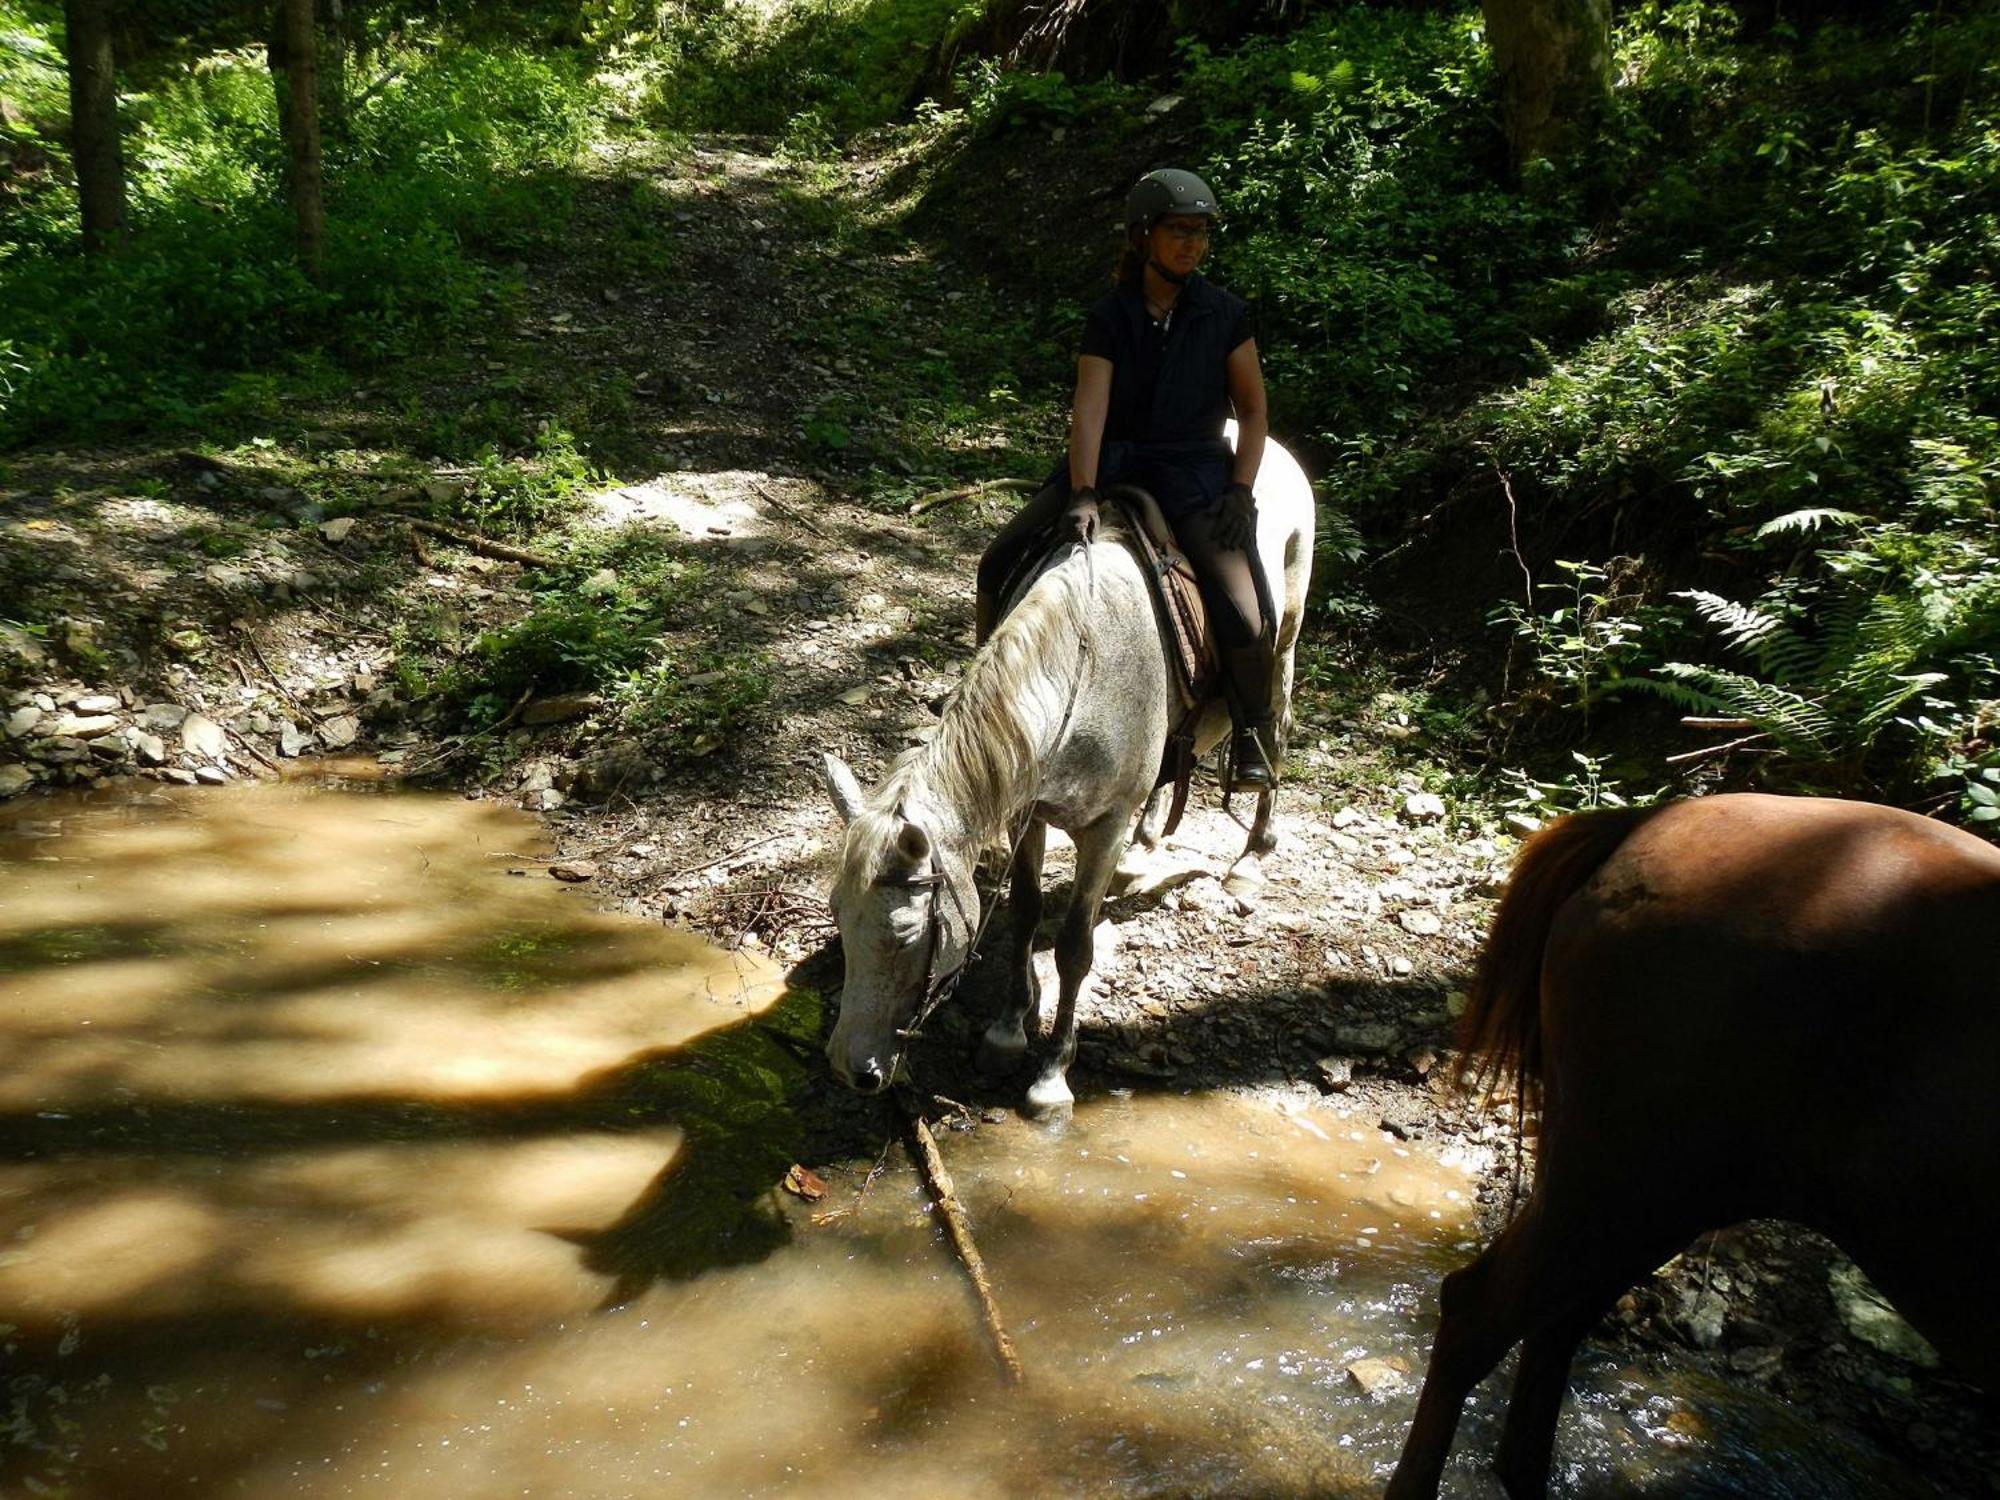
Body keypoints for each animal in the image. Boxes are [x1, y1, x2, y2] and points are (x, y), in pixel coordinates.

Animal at [824, 432, 1312, 1120]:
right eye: (839, 916)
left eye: (904, 935)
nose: (849, 1069)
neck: (1077, 676)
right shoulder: (1027, 811)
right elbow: (1027, 914)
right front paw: (1006, 1032)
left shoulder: (1103, 826)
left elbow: (1076, 947)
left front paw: (1052, 1074)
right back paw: (1146, 849)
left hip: (1283, 639)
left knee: (1276, 721)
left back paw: (1250, 857)